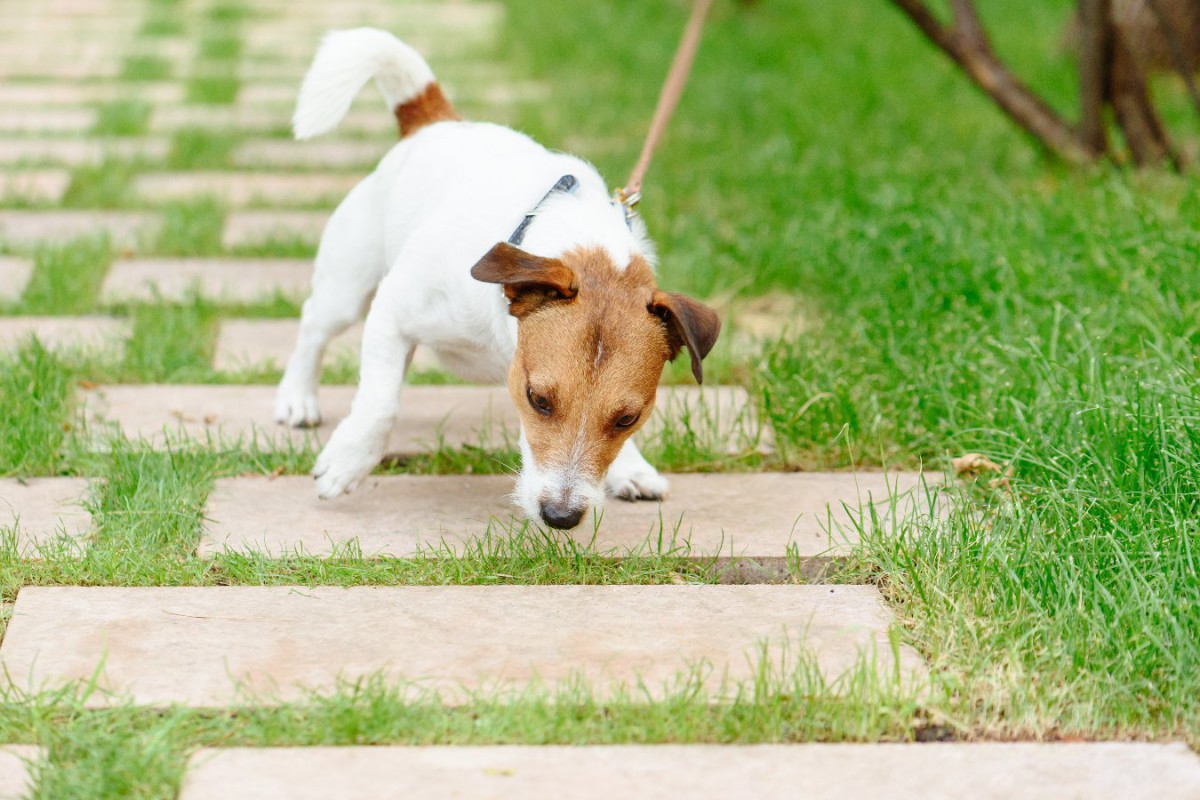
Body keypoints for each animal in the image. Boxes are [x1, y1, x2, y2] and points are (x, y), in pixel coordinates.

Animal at [274, 28, 715, 532]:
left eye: (627, 418)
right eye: (538, 399)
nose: (561, 517)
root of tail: (436, 122)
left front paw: (631, 466)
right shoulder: (392, 312)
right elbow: (379, 404)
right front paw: (347, 462)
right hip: (347, 288)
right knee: (314, 326)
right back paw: (297, 397)